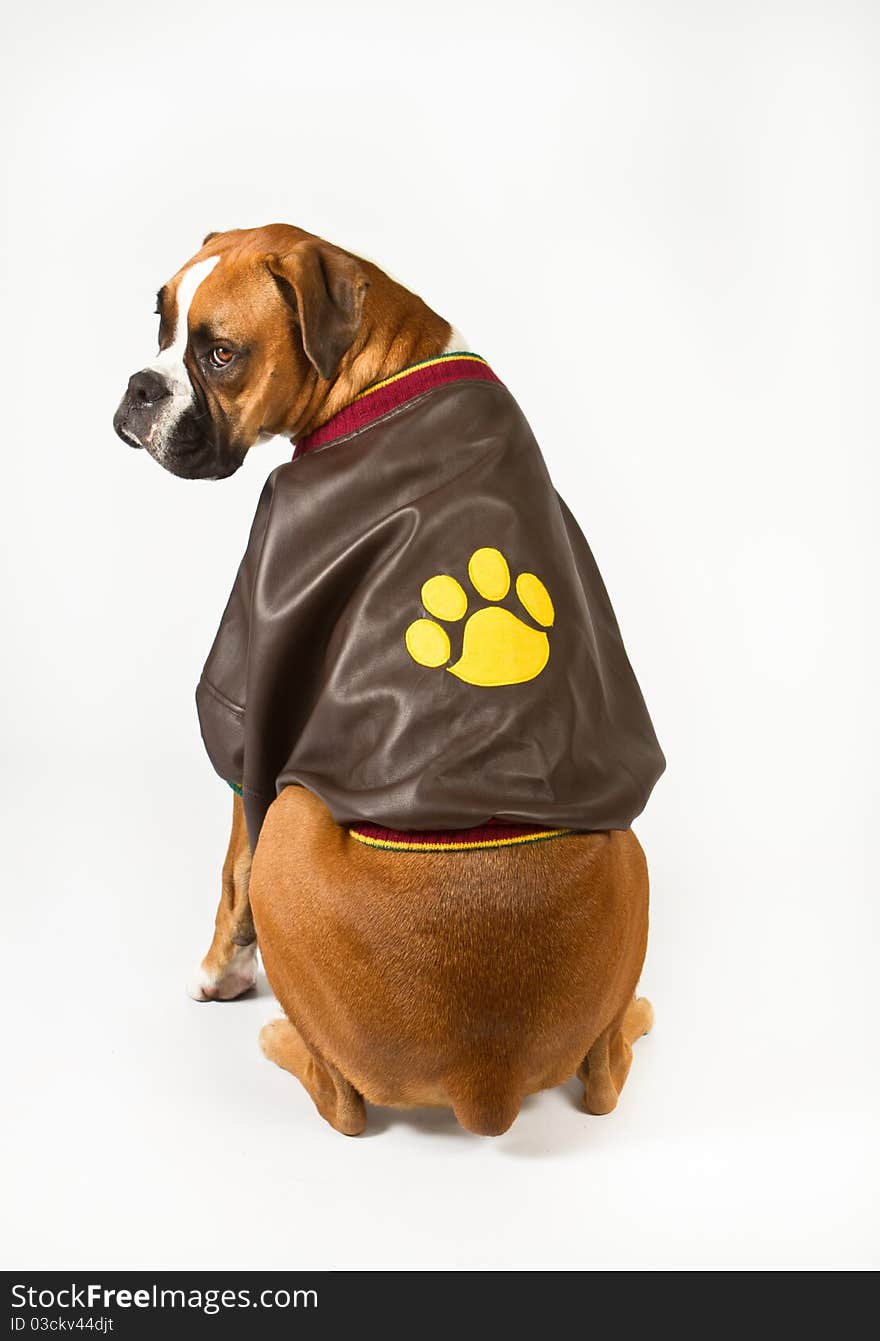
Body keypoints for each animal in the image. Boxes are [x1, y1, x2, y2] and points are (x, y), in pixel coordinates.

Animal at [113, 225, 651, 1137]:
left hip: (296, 814)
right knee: (605, 1078)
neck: (381, 364)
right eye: (158, 322)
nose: (139, 387)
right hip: (630, 847)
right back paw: (636, 1019)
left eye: (220, 353)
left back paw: (281, 1040)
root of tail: (488, 1074)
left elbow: (230, 870)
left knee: (344, 1104)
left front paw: (220, 975)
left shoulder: (251, 692)